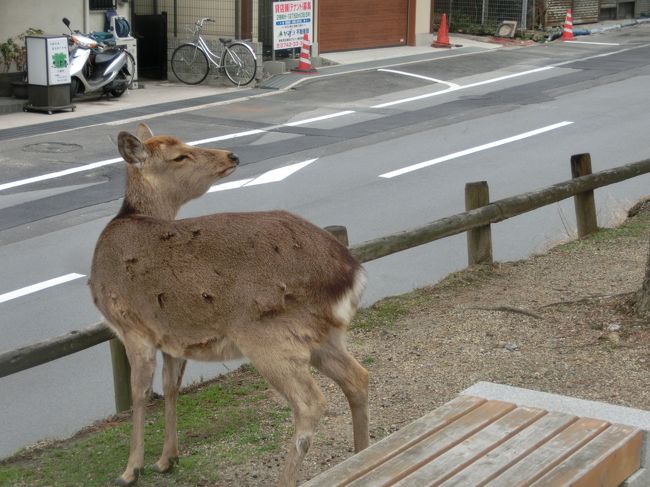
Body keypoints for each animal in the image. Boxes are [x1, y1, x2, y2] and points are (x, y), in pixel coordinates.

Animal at [89, 123, 369, 486]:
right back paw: (362, 454)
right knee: (358, 378)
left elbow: (140, 393)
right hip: (323, 334)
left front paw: (130, 469)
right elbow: (170, 387)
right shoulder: (172, 336)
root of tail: (351, 273)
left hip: (269, 335)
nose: (231, 155)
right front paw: (167, 459)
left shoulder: (131, 324)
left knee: (311, 403)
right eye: (179, 155)